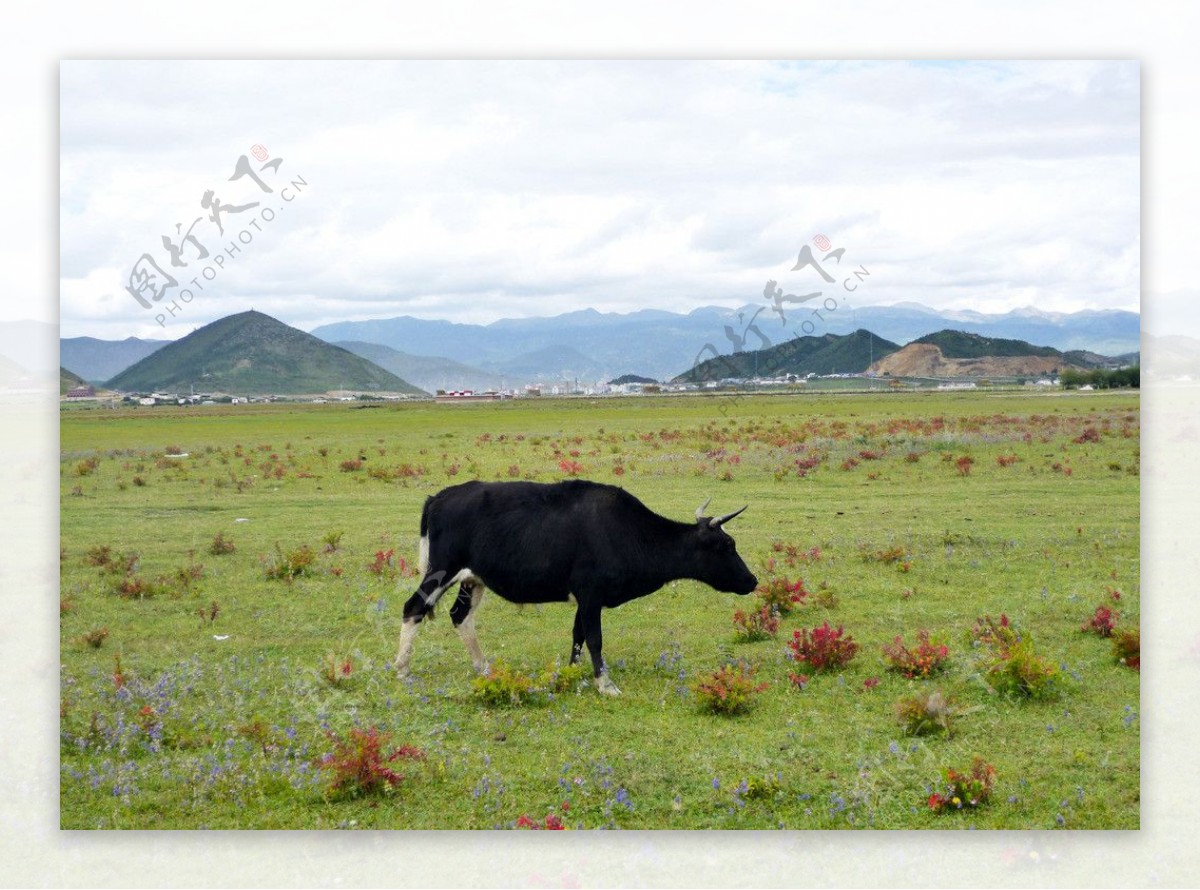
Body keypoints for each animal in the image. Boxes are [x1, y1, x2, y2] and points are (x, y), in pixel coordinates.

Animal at [396, 482, 758, 695]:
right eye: (727, 545)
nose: (753, 580)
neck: (627, 532)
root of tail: (438, 497)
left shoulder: (584, 599)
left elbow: (578, 636)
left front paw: (571, 675)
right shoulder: (591, 594)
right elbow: (594, 638)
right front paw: (605, 683)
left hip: (473, 579)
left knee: (461, 616)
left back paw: (483, 668)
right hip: (441, 571)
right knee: (413, 609)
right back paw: (403, 670)